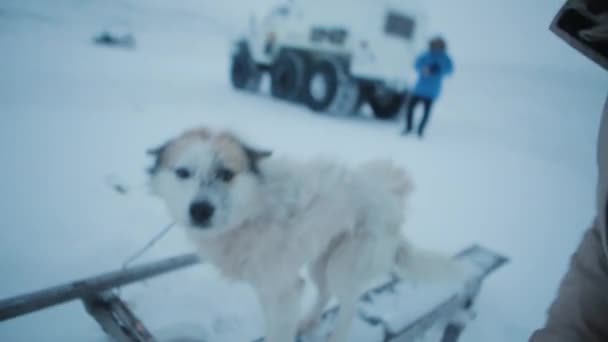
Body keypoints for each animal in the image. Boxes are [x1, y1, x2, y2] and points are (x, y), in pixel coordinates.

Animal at [150, 127, 464, 342]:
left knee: (349, 306)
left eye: (226, 174)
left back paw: (336, 337)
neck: (254, 208)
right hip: (320, 262)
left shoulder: (284, 289)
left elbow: (279, 332)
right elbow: (273, 323)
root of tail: (392, 205)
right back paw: (309, 323)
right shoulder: (270, 286)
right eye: (183, 172)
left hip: (342, 267)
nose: (200, 210)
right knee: (324, 293)